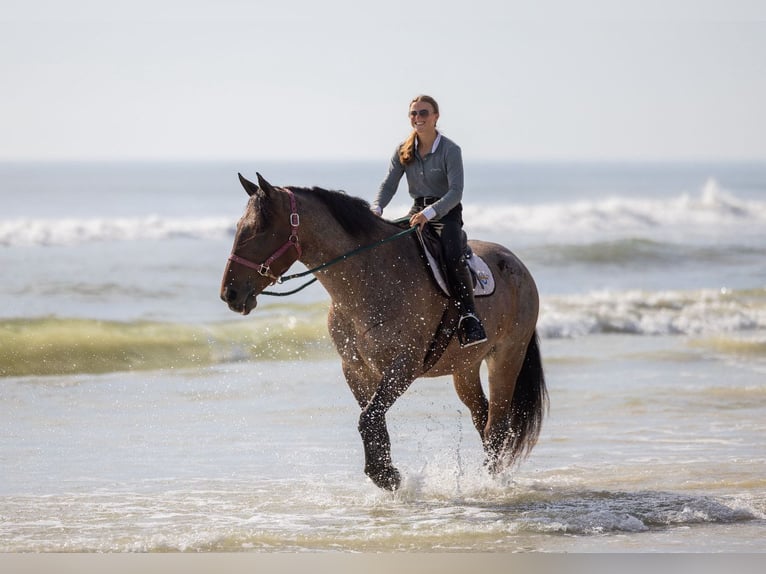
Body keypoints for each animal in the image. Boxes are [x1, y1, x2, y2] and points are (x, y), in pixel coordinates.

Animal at [220, 173, 547, 491]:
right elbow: (373, 420)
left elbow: (369, 418)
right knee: (482, 417)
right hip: (465, 367)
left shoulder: (403, 365)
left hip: (506, 357)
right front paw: (386, 474)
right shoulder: (356, 369)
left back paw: (492, 481)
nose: (229, 294)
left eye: (259, 230)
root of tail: (516, 263)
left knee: (497, 426)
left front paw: (385, 475)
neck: (370, 278)